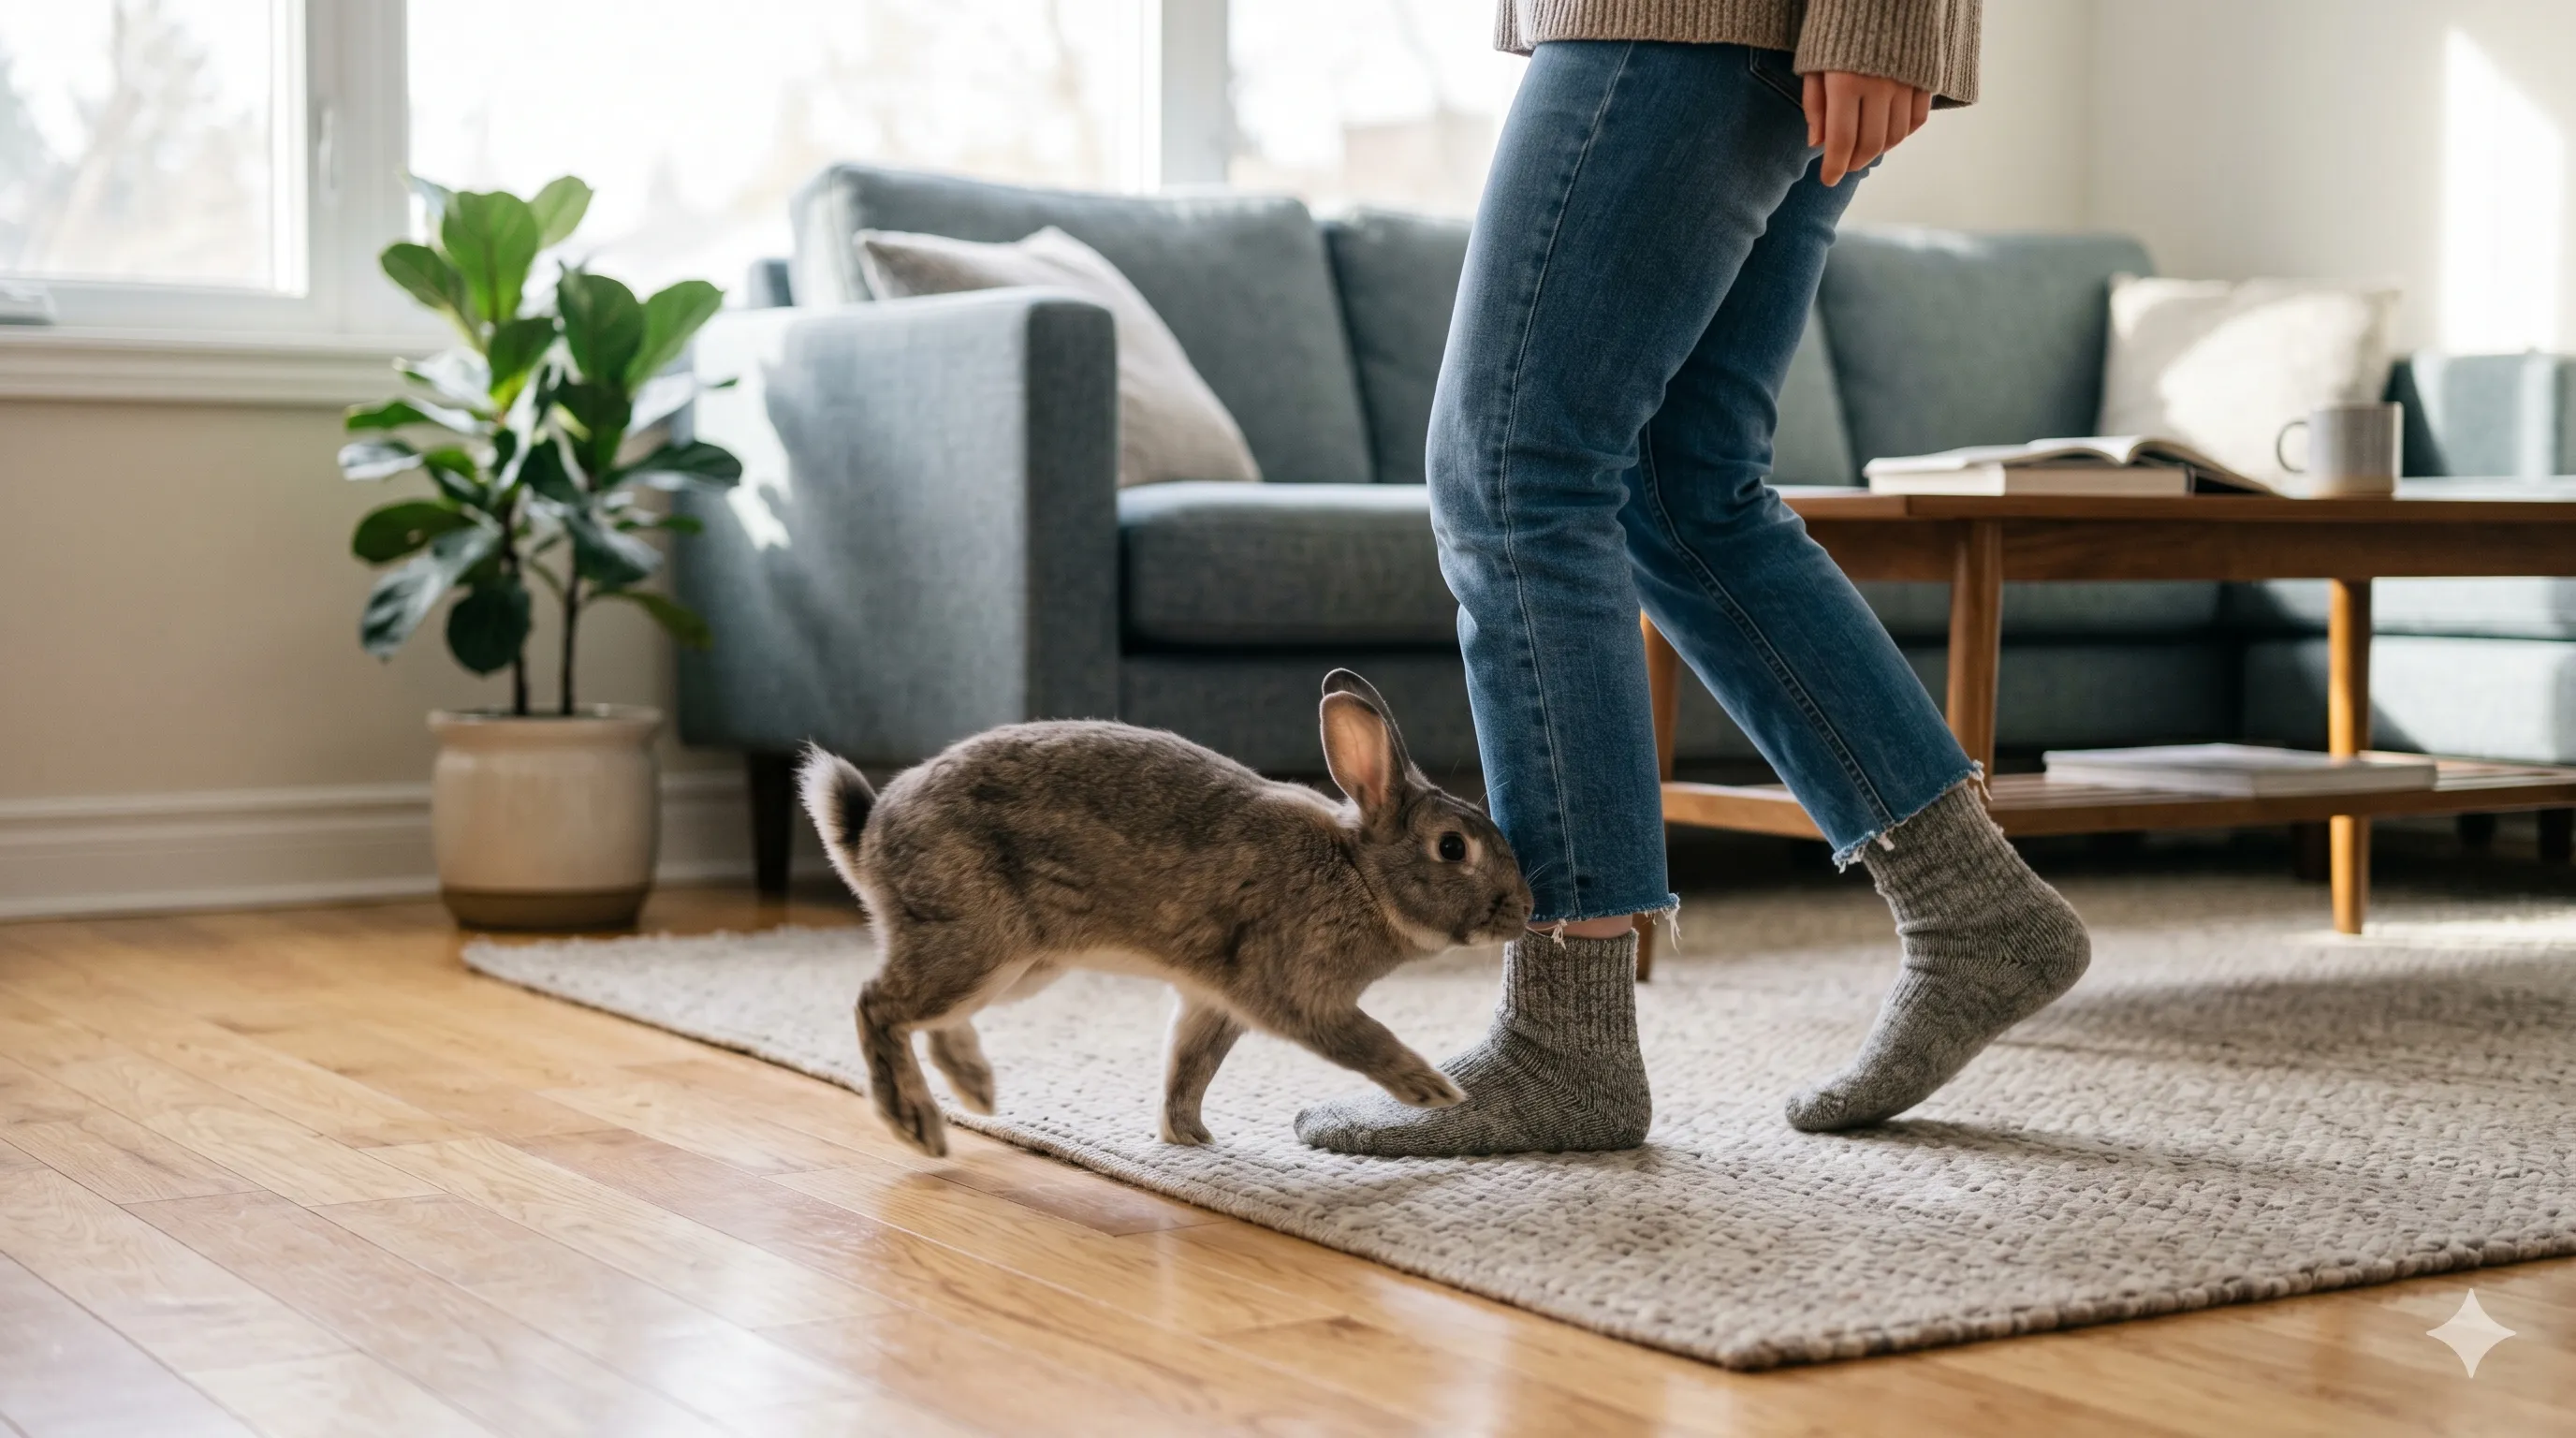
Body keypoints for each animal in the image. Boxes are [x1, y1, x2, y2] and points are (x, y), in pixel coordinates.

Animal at [798, 669, 1534, 1157]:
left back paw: (976, 1089)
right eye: (1451, 847)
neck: (1361, 875)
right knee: (878, 1005)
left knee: (931, 1020)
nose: (1525, 909)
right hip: (976, 942)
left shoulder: (1215, 1001)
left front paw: (1189, 1137)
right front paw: (1432, 1091)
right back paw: (916, 1123)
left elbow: (1190, 1065)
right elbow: (1363, 1038)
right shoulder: (1293, 992)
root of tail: (869, 838)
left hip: (1019, 968)